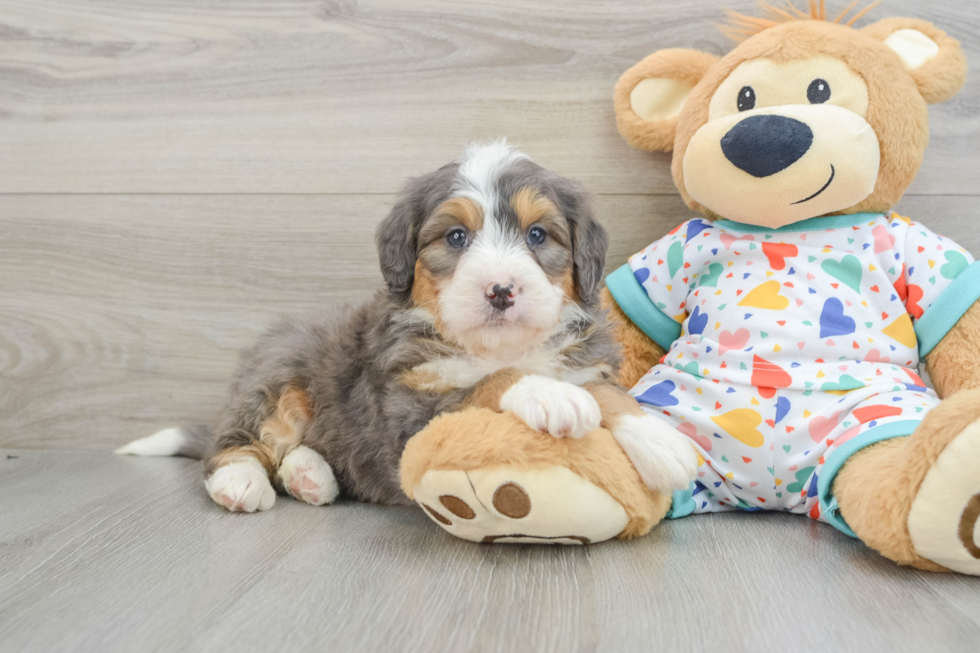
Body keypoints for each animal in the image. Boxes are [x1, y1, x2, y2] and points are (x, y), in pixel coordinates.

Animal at [117, 143, 696, 516]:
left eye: (538, 235)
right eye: (456, 237)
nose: (501, 290)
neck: (497, 346)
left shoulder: (585, 361)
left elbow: (607, 393)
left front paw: (658, 440)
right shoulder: (410, 406)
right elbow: (493, 381)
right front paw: (547, 395)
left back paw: (311, 476)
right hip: (278, 375)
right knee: (238, 441)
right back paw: (240, 480)